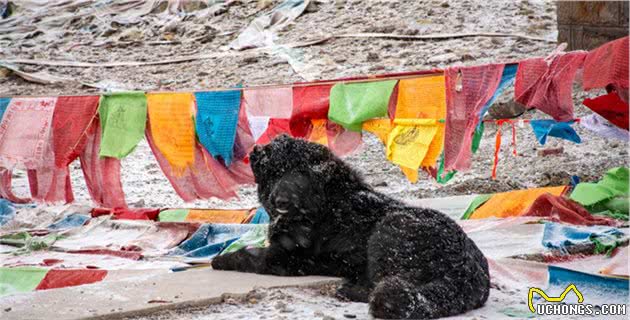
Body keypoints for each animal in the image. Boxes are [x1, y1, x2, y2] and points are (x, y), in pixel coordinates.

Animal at [211, 136, 488, 320]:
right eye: (275, 173)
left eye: (300, 176)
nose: (282, 202)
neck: (323, 203)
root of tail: (469, 270)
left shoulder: (290, 256)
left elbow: (250, 255)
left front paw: (221, 259)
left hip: (390, 230)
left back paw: (348, 290)